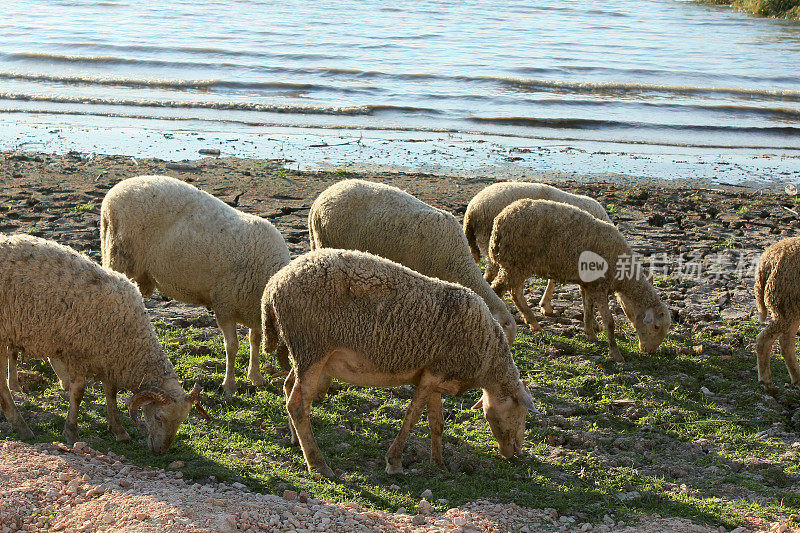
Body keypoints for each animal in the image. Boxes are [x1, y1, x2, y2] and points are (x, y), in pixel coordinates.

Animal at [0, 235, 206, 450]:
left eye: (181, 421)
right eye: (158, 418)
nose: (160, 452)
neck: (131, 337)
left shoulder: (108, 356)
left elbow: (111, 393)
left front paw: (119, 431)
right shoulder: (77, 353)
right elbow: (78, 393)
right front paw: (71, 431)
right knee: (2, 384)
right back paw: (21, 425)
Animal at [262, 248, 536, 478]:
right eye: (520, 413)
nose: (515, 453)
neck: (487, 357)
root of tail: (273, 285)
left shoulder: (436, 375)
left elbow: (436, 422)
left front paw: (439, 464)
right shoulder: (431, 377)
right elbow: (411, 417)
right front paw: (394, 462)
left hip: (305, 352)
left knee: (288, 388)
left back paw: (296, 441)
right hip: (312, 347)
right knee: (298, 405)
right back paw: (318, 464)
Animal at [488, 200, 668, 362]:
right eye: (656, 326)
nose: (650, 351)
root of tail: (499, 220)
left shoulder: (590, 285)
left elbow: (588, 309)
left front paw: (591, 334)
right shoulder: (600, 286)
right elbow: (609, 322)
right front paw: (616, 354)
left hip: (518, 264)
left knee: (516, 293)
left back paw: (534, 324)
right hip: (515, 262)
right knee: (498, 289)